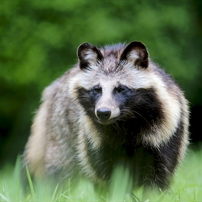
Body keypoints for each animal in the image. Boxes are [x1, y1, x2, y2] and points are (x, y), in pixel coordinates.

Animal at [23, 40, 189, 189]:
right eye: (97, 89)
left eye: (121, 89)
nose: (103, 113)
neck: (125, 124)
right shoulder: (96, 141)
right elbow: (110, 179)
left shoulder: (166, 133)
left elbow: (158, 178)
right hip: (60, 132)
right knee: (59, 171)